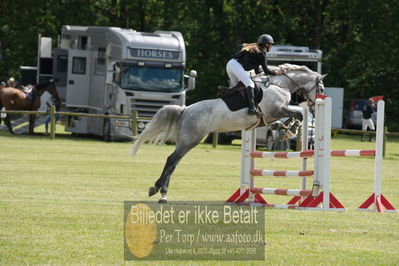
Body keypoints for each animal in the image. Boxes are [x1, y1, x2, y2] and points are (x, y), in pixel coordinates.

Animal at [133, 63, 326, 203]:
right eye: (321, 89)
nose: (315, 110)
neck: (280, 85)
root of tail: (184, 110)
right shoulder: (277, 110)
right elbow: (298, 115)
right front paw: (290, 130)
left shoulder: (272, 116)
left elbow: (288, 119)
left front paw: (284, 130)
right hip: (190, 140)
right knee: (171, 160)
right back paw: (156, 188)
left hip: (186, 142)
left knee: (174, 163)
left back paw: (162, 194)